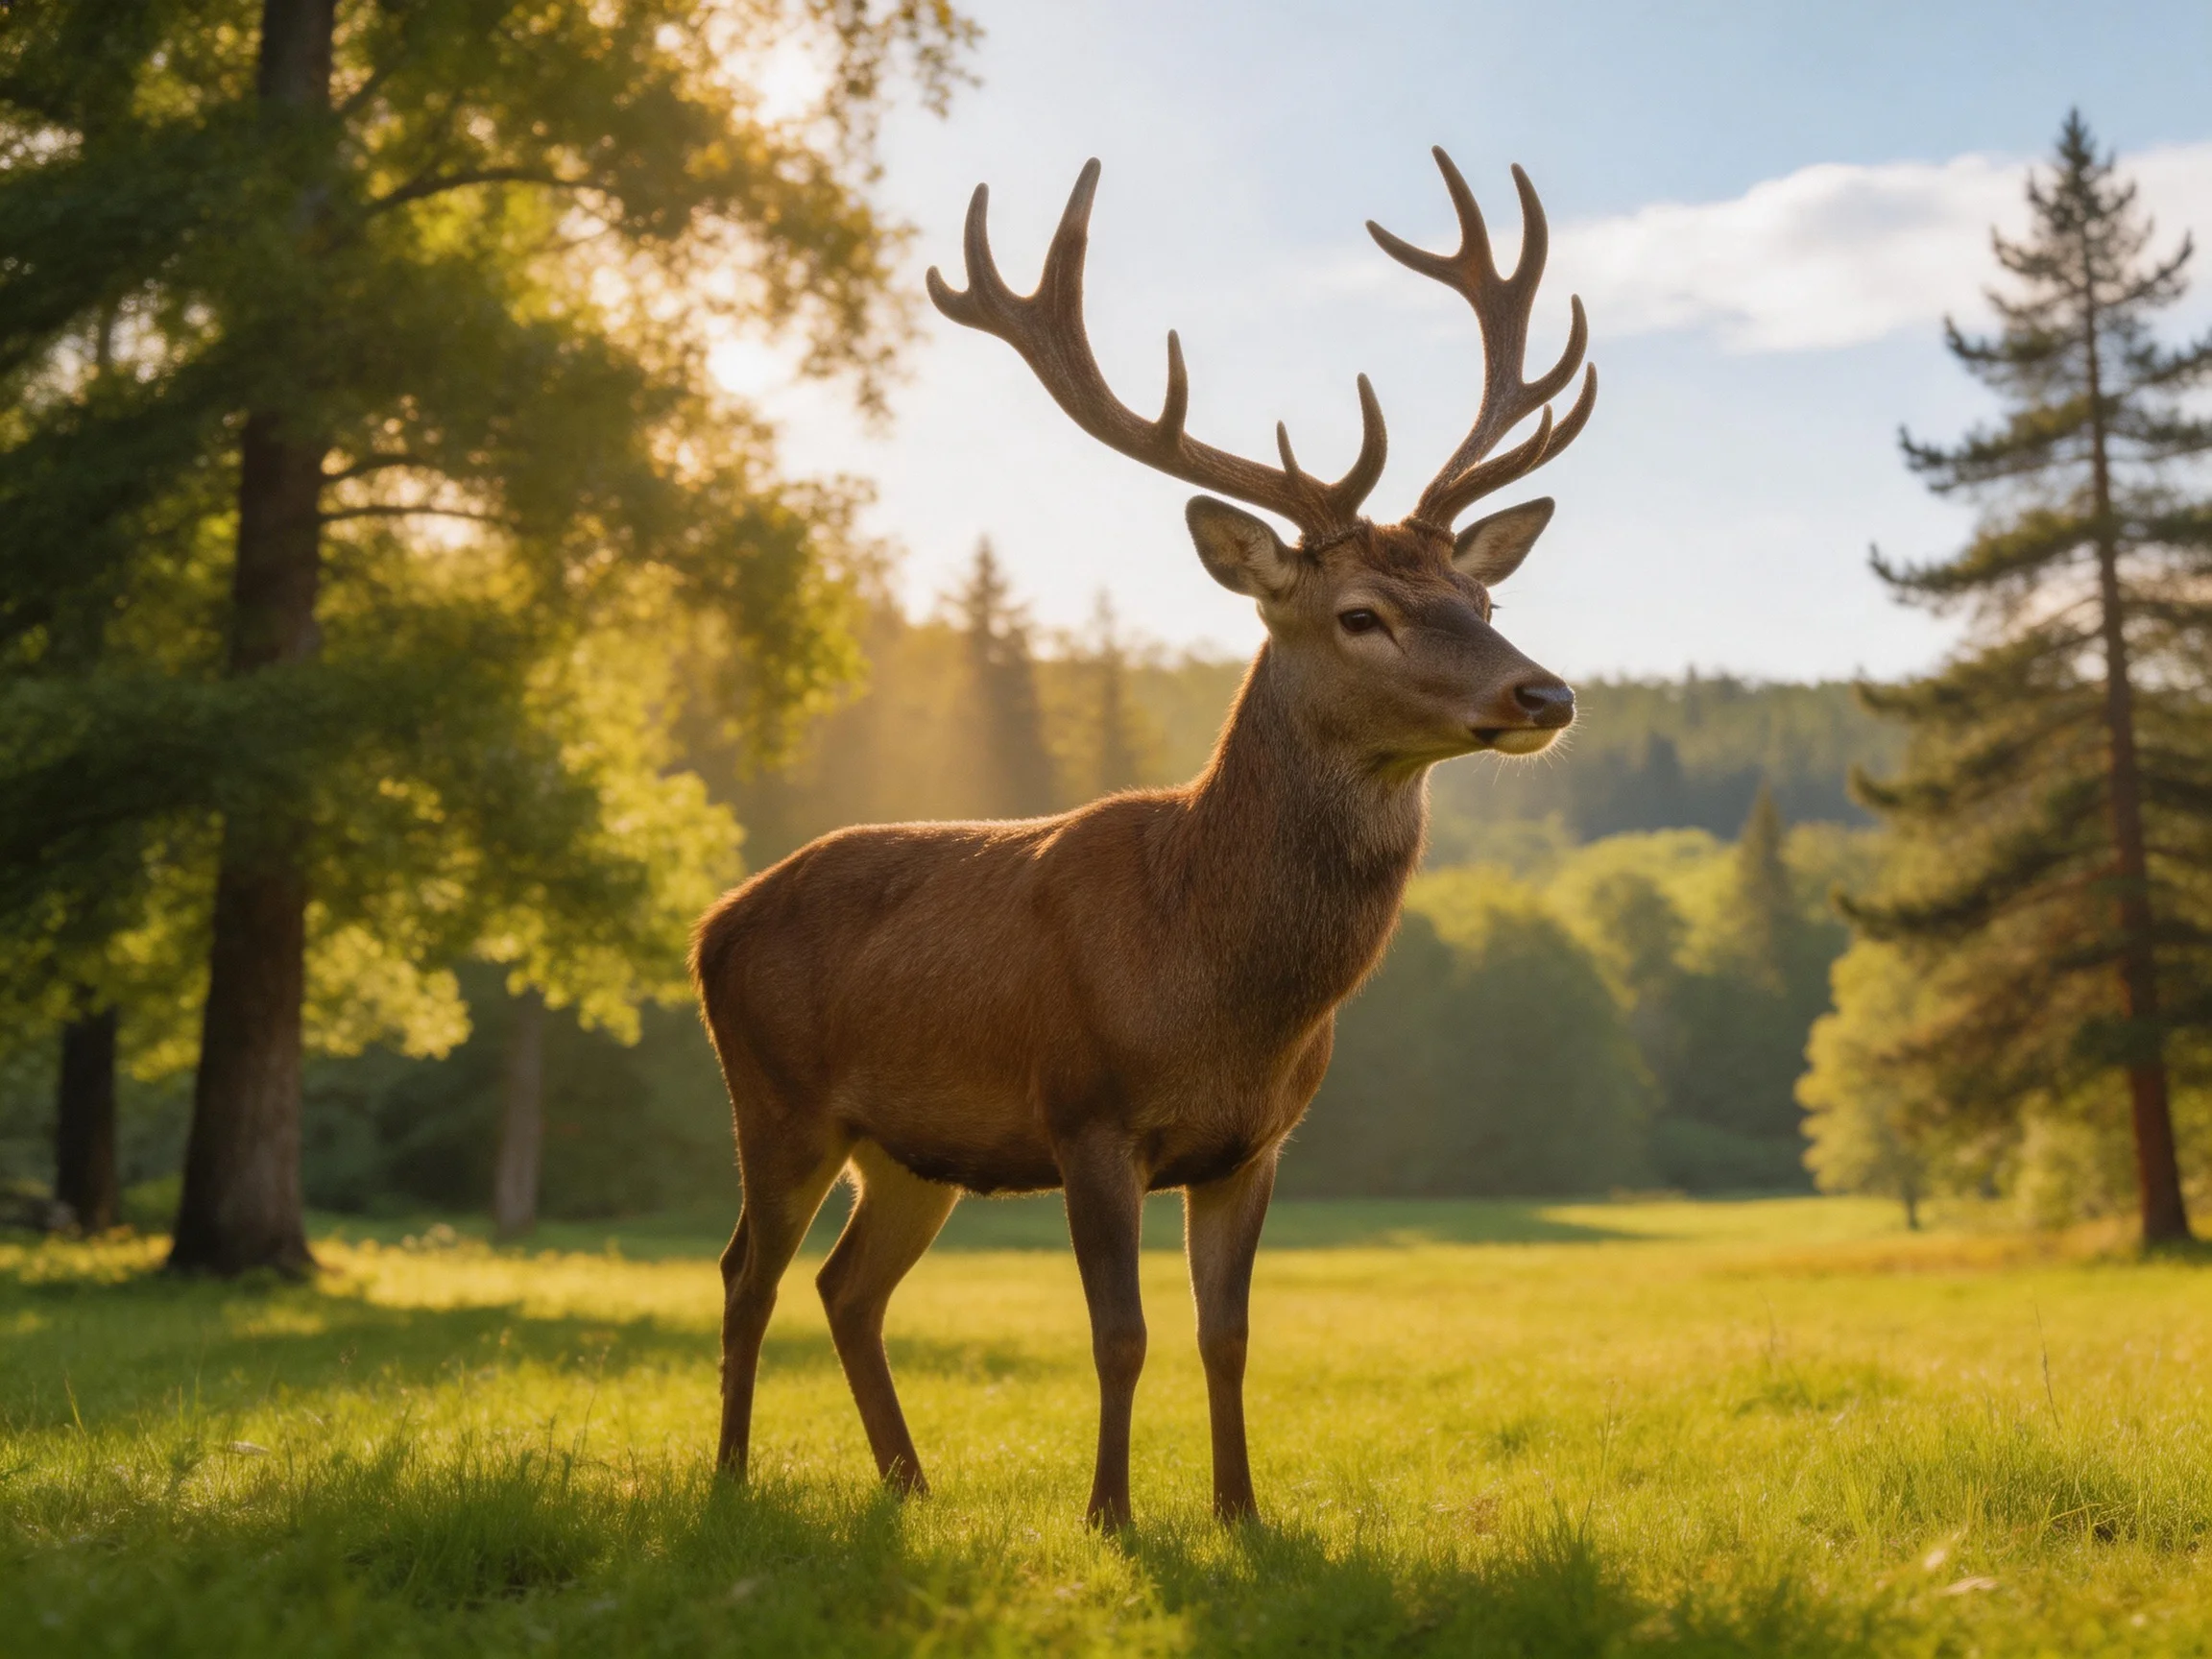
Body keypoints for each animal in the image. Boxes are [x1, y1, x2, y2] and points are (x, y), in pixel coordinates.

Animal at [691, 147, 1595, 1529]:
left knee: (848, 1286)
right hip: (776, 1097)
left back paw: (910, 1484)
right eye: (1361, 614)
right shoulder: (1087, 1112)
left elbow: (1228, 1335)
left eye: (1483, 595)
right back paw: (733, 1476)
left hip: (912, 1149)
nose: (1543, 694)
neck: (1219, 985)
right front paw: (1110, 1514)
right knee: (747, 1272)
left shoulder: (1255, 1143)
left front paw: (1240, 1512)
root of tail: (709, 925)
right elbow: (1119, 1333)